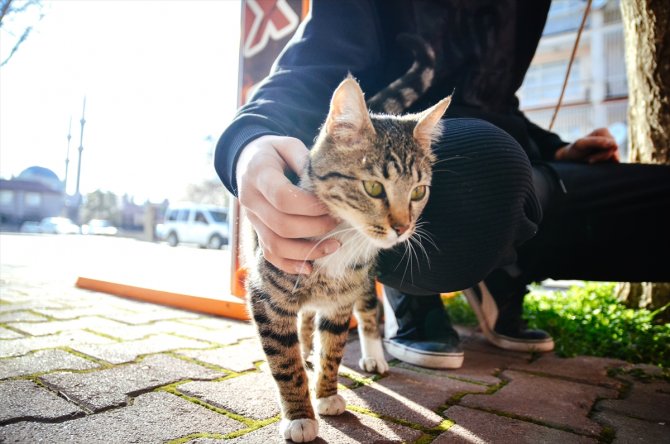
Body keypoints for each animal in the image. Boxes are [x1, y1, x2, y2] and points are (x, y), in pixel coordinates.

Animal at [243, 75, 452, 440]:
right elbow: (284, 362)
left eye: (418, 192)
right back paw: (305, 348)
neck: (344, 239)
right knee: (304, 319)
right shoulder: (267, 295)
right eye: (374, 188)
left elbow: (335, 348)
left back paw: (372, 357)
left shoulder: (341, 299)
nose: (402, 228)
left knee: (367, 312)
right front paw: (300, 415)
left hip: (364, 282)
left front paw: (327, 394)